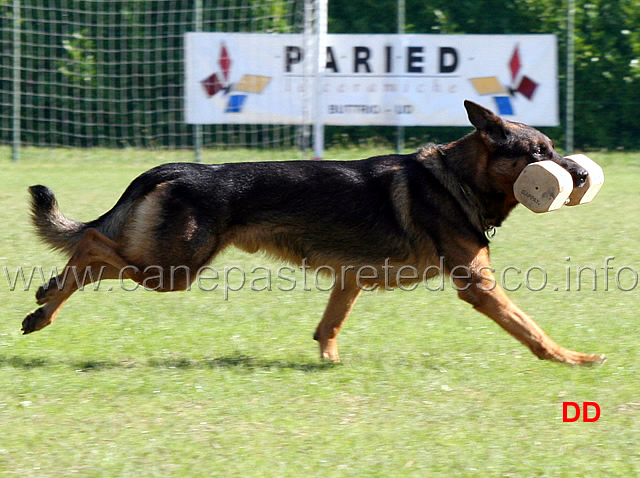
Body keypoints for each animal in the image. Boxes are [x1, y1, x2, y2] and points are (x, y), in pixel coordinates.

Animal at [22, 99, 604, 364]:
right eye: (538, 154)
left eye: (553, 150)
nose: (579, 177)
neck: (457, 178)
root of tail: (177, 169)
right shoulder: (478, 287)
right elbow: (529, 327)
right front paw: (571, 358)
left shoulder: (351, 279)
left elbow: (330, 325)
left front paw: (329, 364)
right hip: (174, 268)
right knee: (93, 246)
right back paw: (45, 304)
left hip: (169, 265)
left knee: (93, 249)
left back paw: (43, 305)